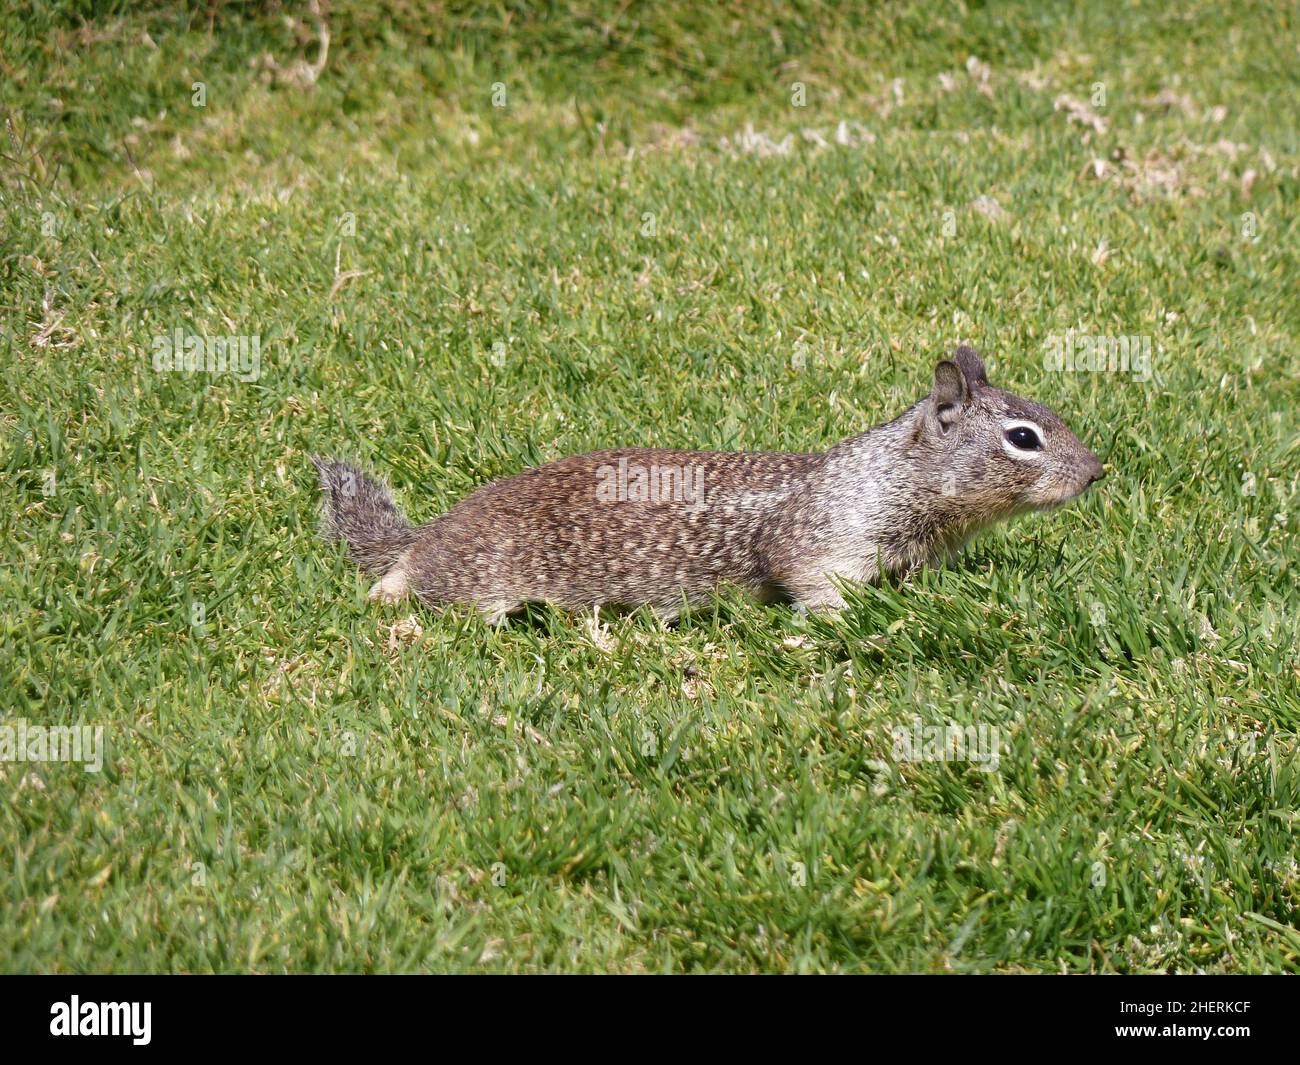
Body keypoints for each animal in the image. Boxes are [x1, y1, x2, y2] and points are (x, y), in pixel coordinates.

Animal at [312, 345, 1097, 629]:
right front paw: (841, 625)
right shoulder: (824, 541)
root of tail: (435, 528)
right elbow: (815, 586)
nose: (1097, 471)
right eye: (1023, 438)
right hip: (478, 578)